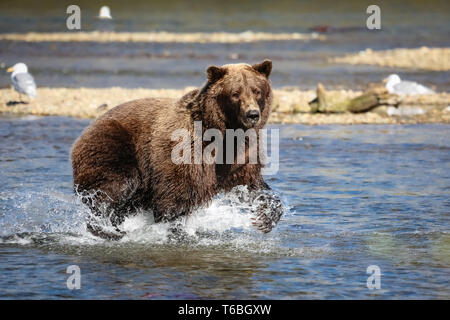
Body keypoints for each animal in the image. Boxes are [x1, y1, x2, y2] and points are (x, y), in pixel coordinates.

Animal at [70, 60, 282, 240]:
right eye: (235, 93)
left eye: (256, 91)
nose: (252, 114)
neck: (223, 133)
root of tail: (87, 128)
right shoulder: (186, 150)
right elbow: (176, 195)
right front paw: (177, 230)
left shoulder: (240, 154)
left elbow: (249, 185)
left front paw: (265, 217)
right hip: (112, 146)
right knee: (115, 187)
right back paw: (107, 229)